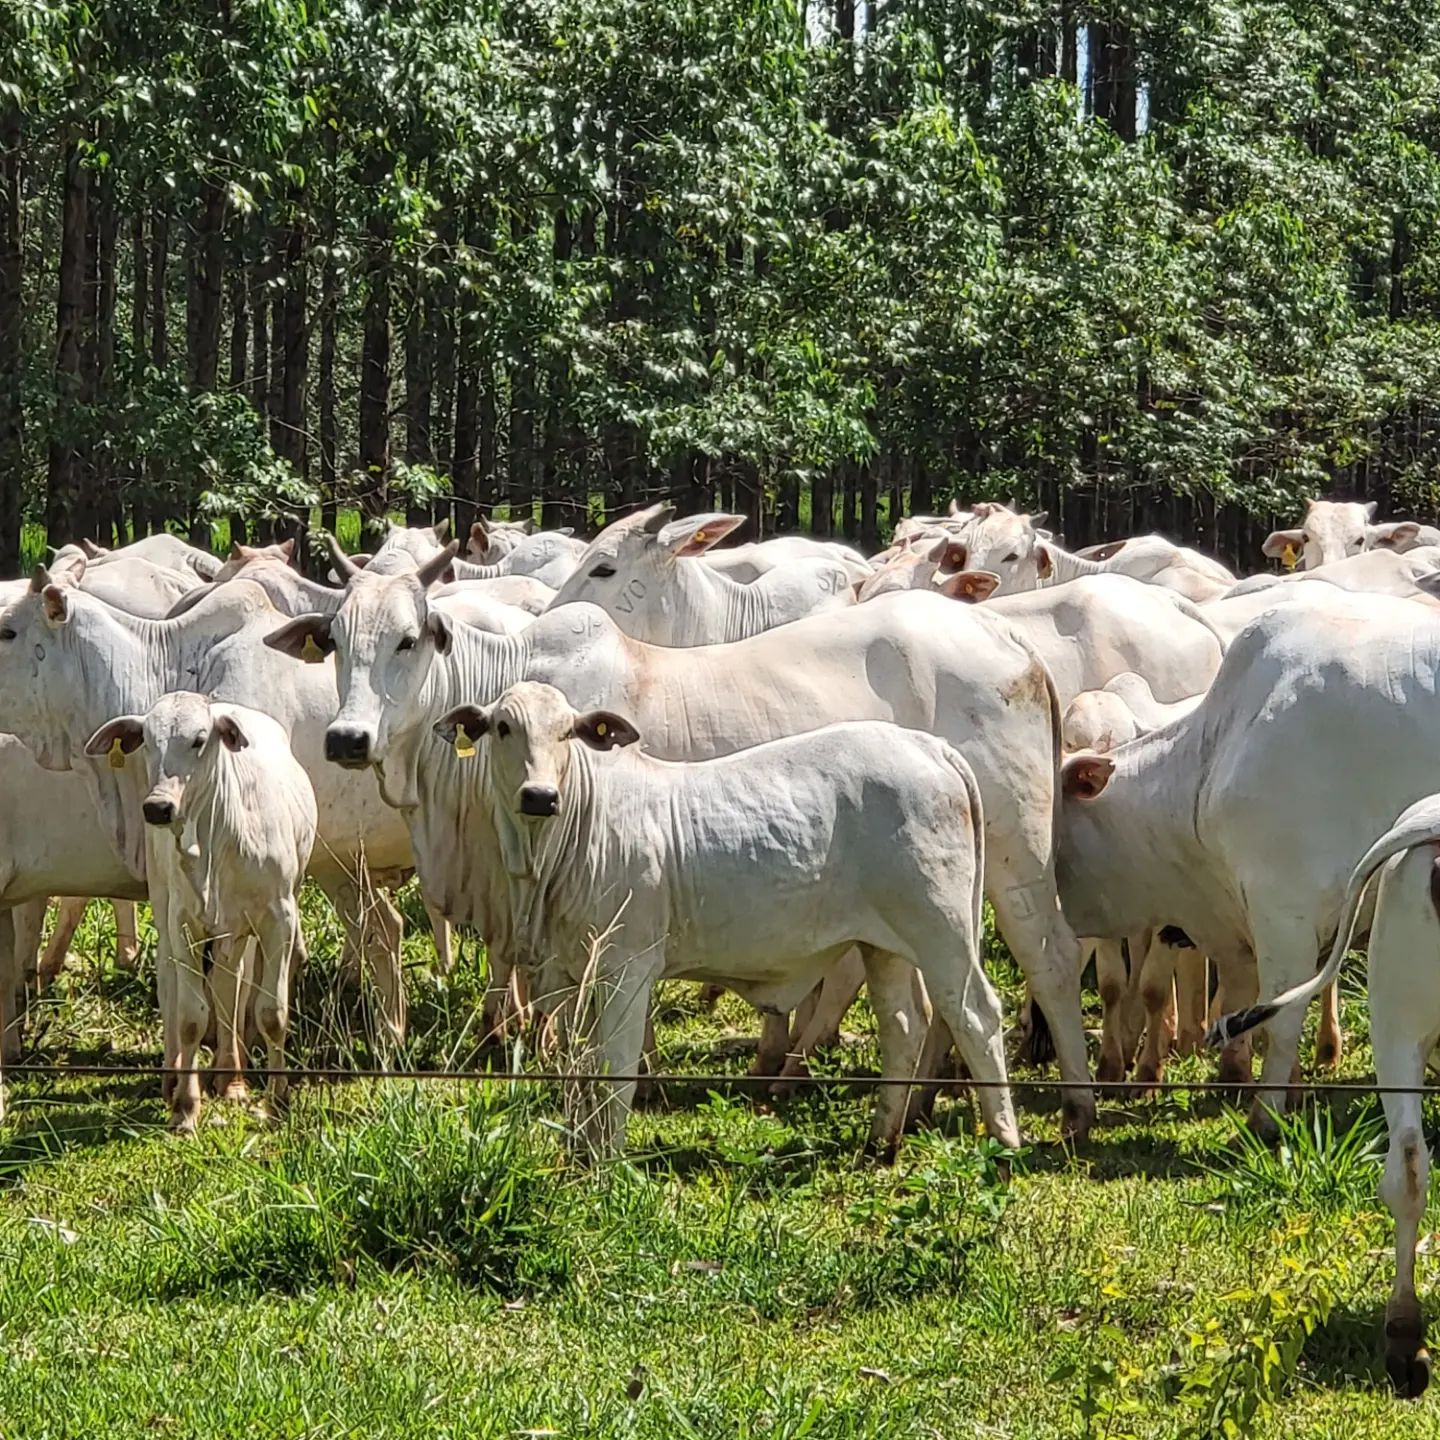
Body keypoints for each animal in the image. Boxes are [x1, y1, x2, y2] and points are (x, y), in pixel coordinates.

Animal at [84, 696, 315, 1134]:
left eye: (199, 739)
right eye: (147, 741)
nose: (158, 807)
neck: (218, 838)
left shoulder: (279, 916)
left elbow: (271, 1012)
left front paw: (277, 1103)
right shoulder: (183, 922)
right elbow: (191, 1016)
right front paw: (186, 1109)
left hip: (237, 928)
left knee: (229, 984)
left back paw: (232, 1078)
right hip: (166, 906)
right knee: (169, 981)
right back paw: (173, 1078)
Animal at [432, 679, 1019, 1163]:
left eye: (567, 733)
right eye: (503, 727)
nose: (540, 796)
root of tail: (930, 746)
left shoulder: (627, 967)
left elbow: (616, 1069)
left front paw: (605, 1164)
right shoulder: (568, 973)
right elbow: (581, 1068)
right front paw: (578, 1150)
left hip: (942, 930)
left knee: (975, 1015)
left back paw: (1004, 1142)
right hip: (886, 945)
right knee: (904, 1026)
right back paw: (881, 1142)